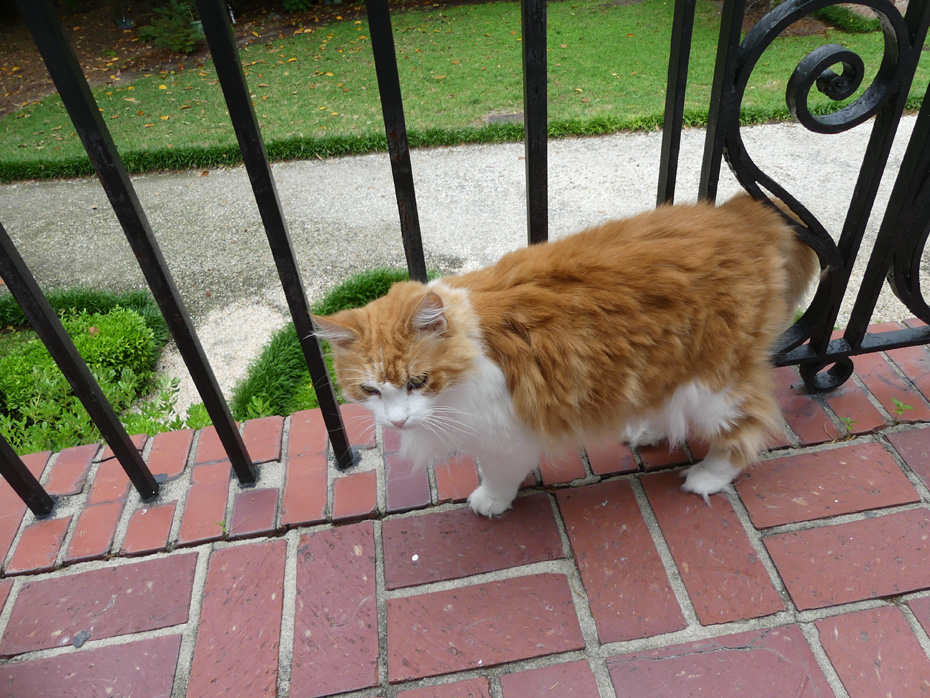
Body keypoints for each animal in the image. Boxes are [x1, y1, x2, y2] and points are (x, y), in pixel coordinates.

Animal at [314, 193, 820, 512]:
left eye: (418, 382)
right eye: (370, 391)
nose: (397, 422)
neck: (471, 343)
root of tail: (740, 213)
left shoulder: (504, 435)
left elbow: (497, 476)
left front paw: (490, 503)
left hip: (714, 384)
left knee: (748, 427)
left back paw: (707, 476)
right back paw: (647, 431)